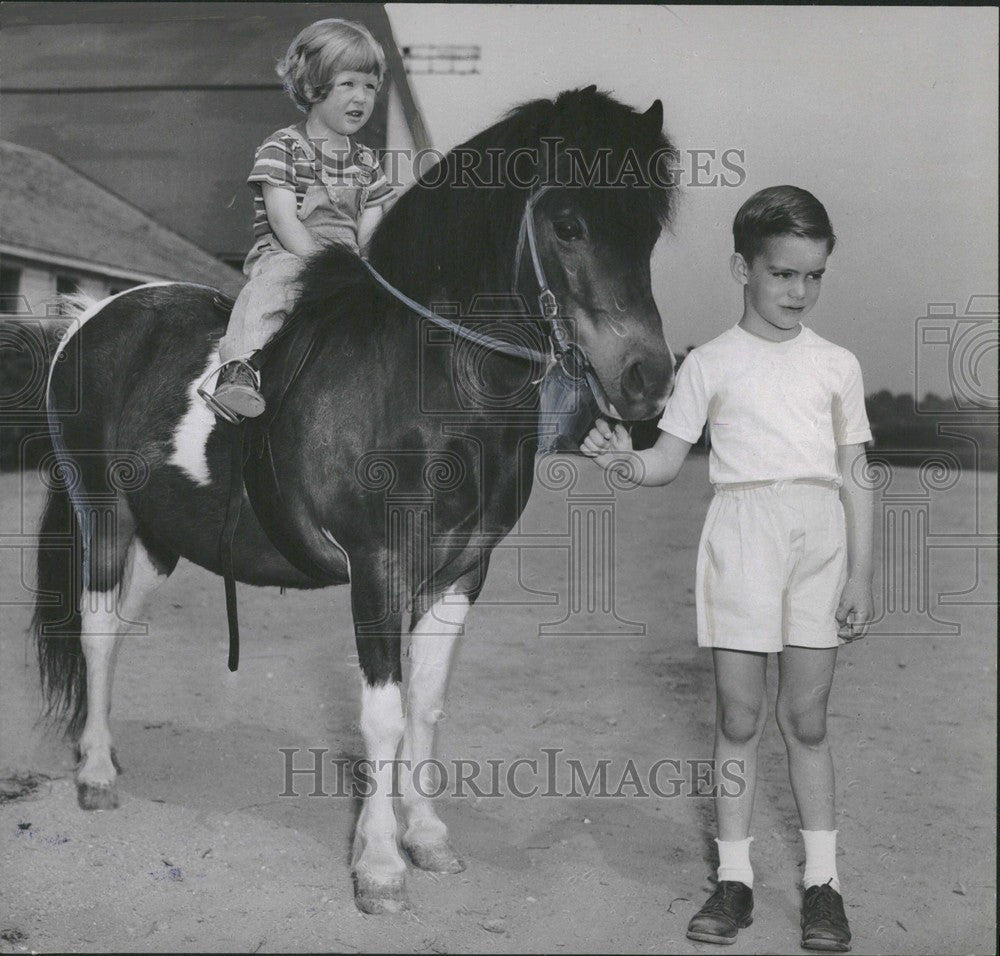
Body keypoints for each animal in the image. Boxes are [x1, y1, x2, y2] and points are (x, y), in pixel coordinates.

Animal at [35, 88, 684, 912]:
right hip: (103, 516)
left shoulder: (460, 574)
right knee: (94, 630)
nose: (647, 380)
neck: (434, 381)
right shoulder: (378, 568)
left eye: (648, 230)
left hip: (161, 538)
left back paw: (108, 754)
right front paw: (378, 865)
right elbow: (381, 717)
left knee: (117, 631)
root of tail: (91, 319)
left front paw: (427, 836)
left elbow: (425, 705)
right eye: (568, 224)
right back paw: (93, 775)